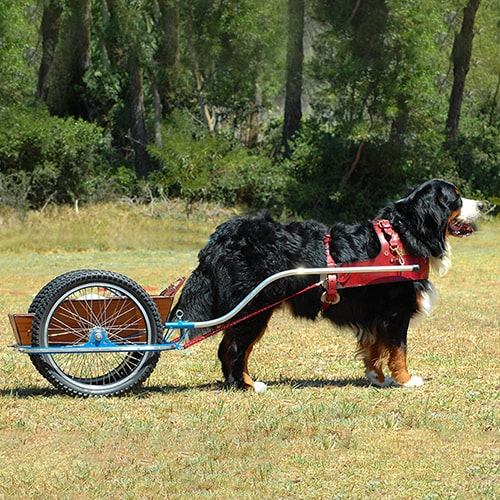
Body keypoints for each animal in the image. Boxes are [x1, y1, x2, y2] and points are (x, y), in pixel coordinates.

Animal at [171, 178, 480, 392]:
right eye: (455, 197)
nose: (484, 205)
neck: (403, 235)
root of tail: (220, 237)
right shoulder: (395, 313)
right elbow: (398, 350)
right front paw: (405, 380)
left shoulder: (375, 317)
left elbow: (375, 349)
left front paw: (377, 378)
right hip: (256, 308)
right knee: (235, 348)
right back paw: (249, 384)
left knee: (227, 346)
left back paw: (235, 383)